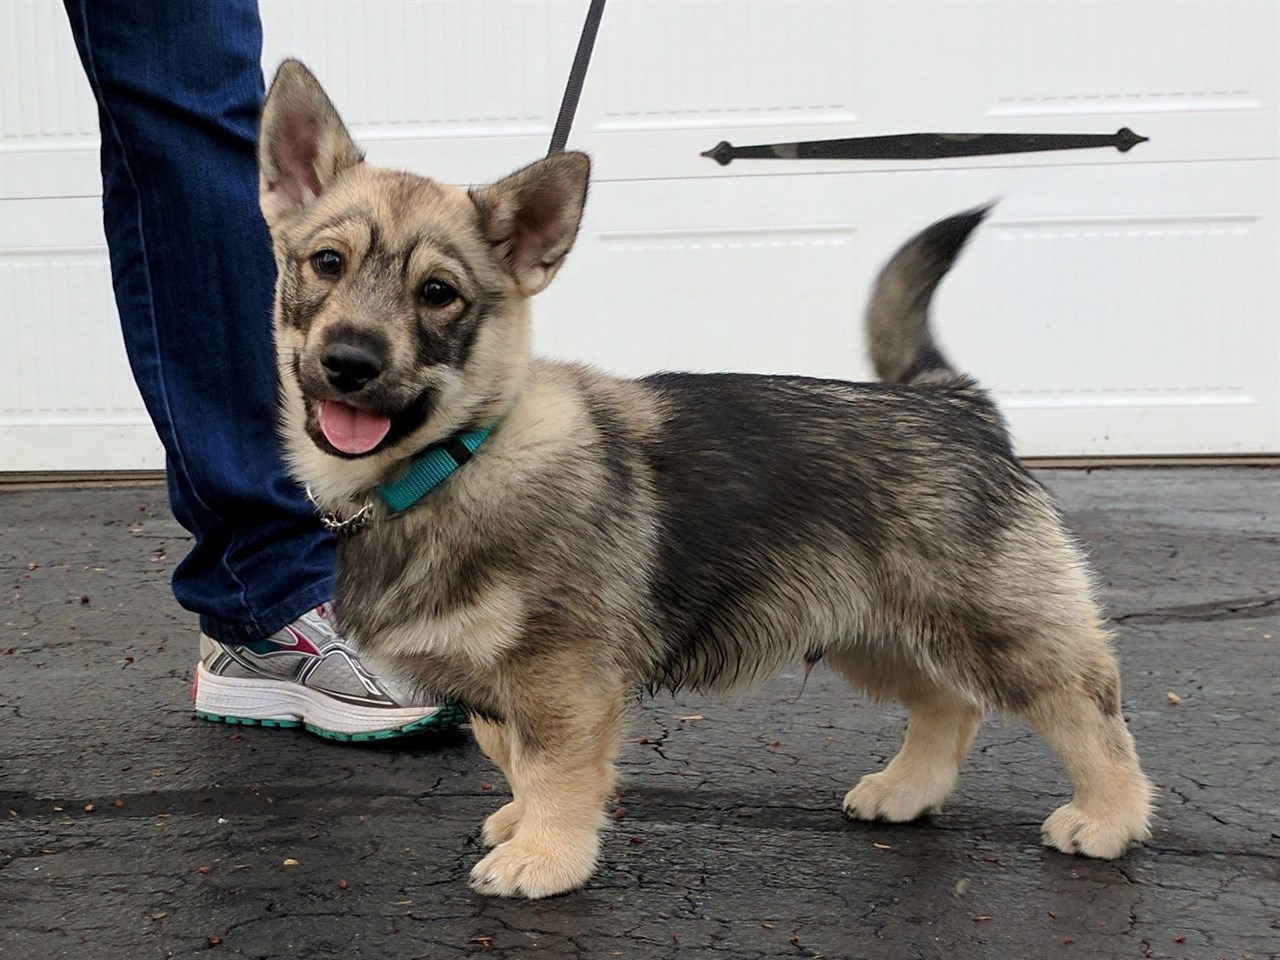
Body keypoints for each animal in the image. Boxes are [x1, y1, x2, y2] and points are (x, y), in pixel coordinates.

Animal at [254, 62, 1157, 901]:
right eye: (326, 264)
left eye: (438, 294)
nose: (349, 361)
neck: (460, 454)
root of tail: (952, 403)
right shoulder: (501, 682)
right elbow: (505, 749)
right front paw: (522, 822)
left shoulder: (560, 674)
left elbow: (552, 765)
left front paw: (546, 855)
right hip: (868, 629)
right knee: (948, 703)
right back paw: (908, 789)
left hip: (995, 627)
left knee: (1087, 708)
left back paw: (1109, 816)